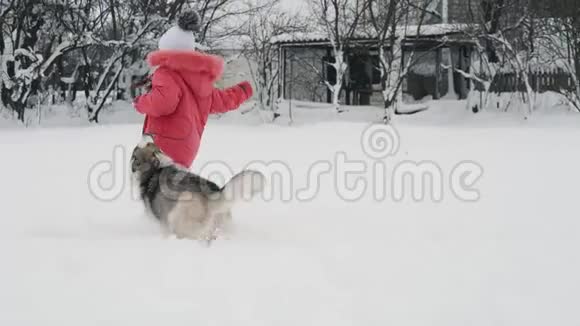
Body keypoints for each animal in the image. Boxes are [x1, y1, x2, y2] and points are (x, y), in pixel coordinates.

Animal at [131, 136, 266, 243]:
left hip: (179, 212)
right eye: (154, 146)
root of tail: (212, 195)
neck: (156, 169)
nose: (148, 133)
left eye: (135, 152)